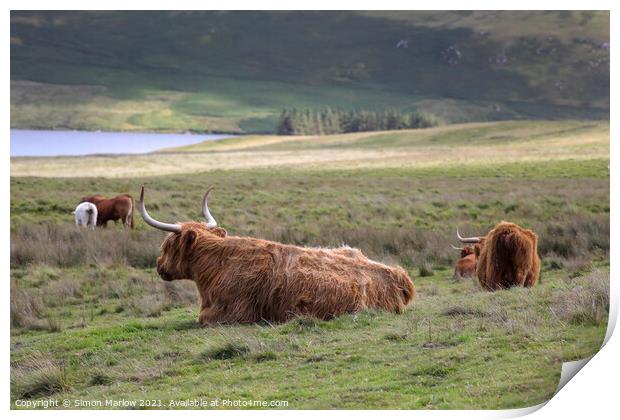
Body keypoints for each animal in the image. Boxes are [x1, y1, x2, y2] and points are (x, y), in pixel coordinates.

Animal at [140, 185, 416, 324]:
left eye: (167, 246)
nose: (158, 265)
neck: (215, 265)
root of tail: (397, 274)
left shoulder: (232, 312)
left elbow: (202, 319)